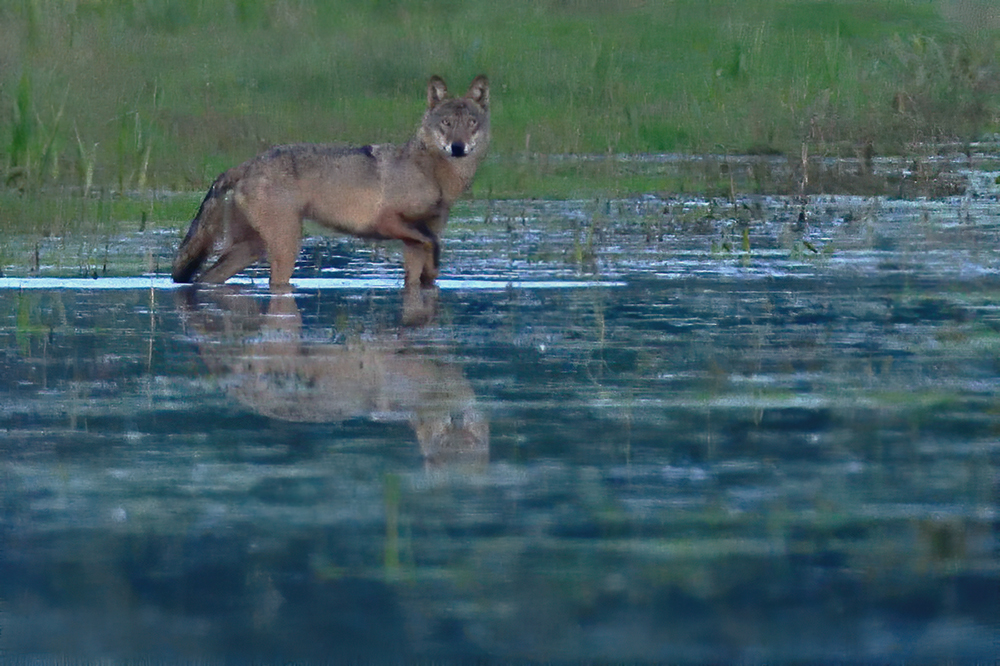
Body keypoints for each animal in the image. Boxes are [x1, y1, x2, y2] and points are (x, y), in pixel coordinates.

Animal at [173, 75, 492, 288]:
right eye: (446, 124)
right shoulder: (389, 222)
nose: (458, 147)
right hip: (286, 247)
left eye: (471, 124)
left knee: (205, 278)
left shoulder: (413, 241)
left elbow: (423, 266)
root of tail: (246, 164)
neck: (433, 175)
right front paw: (435, 267)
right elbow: (434, 244)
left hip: (252, 248)